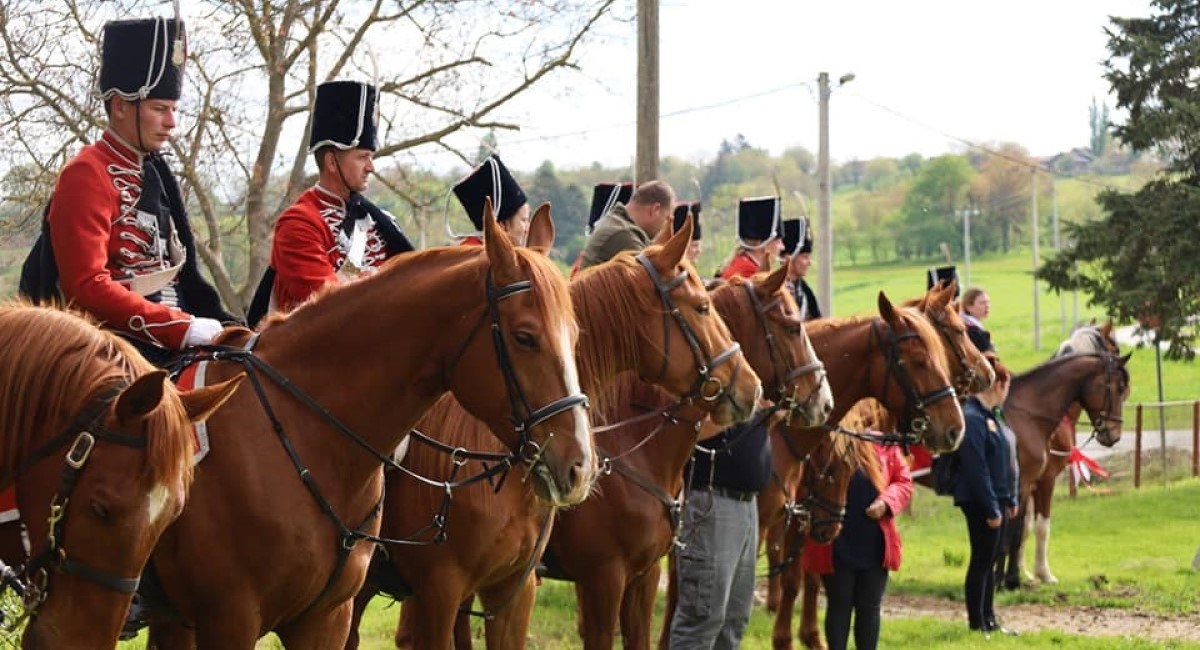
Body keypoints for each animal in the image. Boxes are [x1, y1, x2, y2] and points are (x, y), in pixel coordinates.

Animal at [993, 323, 1123, 590]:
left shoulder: (1030, 484)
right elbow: (1036, 527)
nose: (1114, 434)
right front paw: (1038, 574)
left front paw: (1024, 574)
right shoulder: (1043, 480)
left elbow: (1023, 528)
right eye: (1114, 349)